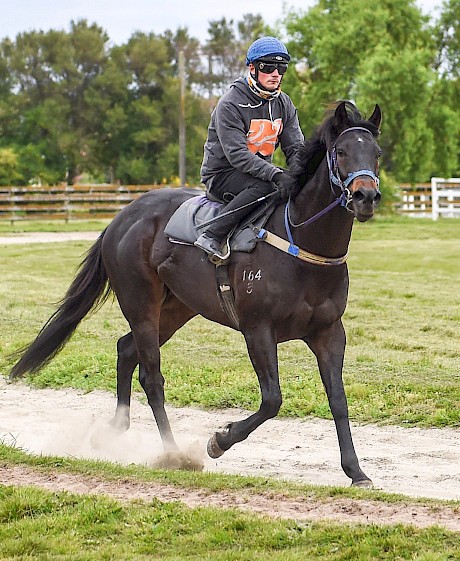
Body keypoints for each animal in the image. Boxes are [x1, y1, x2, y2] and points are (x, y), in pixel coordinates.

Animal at [11, 100, 384, 486]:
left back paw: (114, 429)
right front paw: (219, 440)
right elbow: (272, 400)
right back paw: (174, 454)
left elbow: (338, 399)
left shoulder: (329, 332)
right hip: (141, 304)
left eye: (376, 153)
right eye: (341, 151)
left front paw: (356, 471)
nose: (366, 196)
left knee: (126, 351)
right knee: (151, 377)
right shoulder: (258, 329)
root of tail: (122, 218)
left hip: (175, 309)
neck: (302, 244)